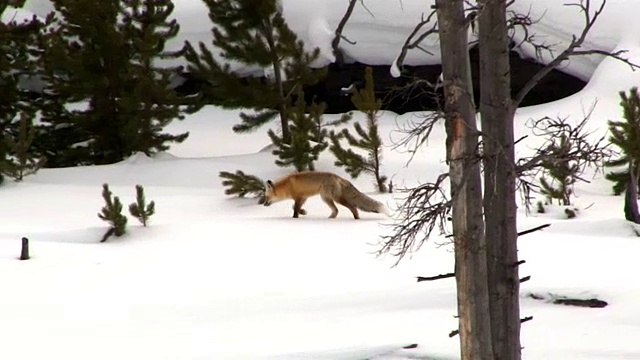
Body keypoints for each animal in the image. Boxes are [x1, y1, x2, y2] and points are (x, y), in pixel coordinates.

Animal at [262, 170, 390, 218]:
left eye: (266, 197)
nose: (263, 204)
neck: (287, 185)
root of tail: (337, 176)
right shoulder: (303, 197)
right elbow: (295, 207)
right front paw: (303, 212)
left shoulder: (298, 198)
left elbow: (294, 209)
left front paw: (295, 218)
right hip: (326, 198)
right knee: (336, 211)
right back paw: (330, 219)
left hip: (335, 198)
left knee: (353, 207)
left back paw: (356, 218)